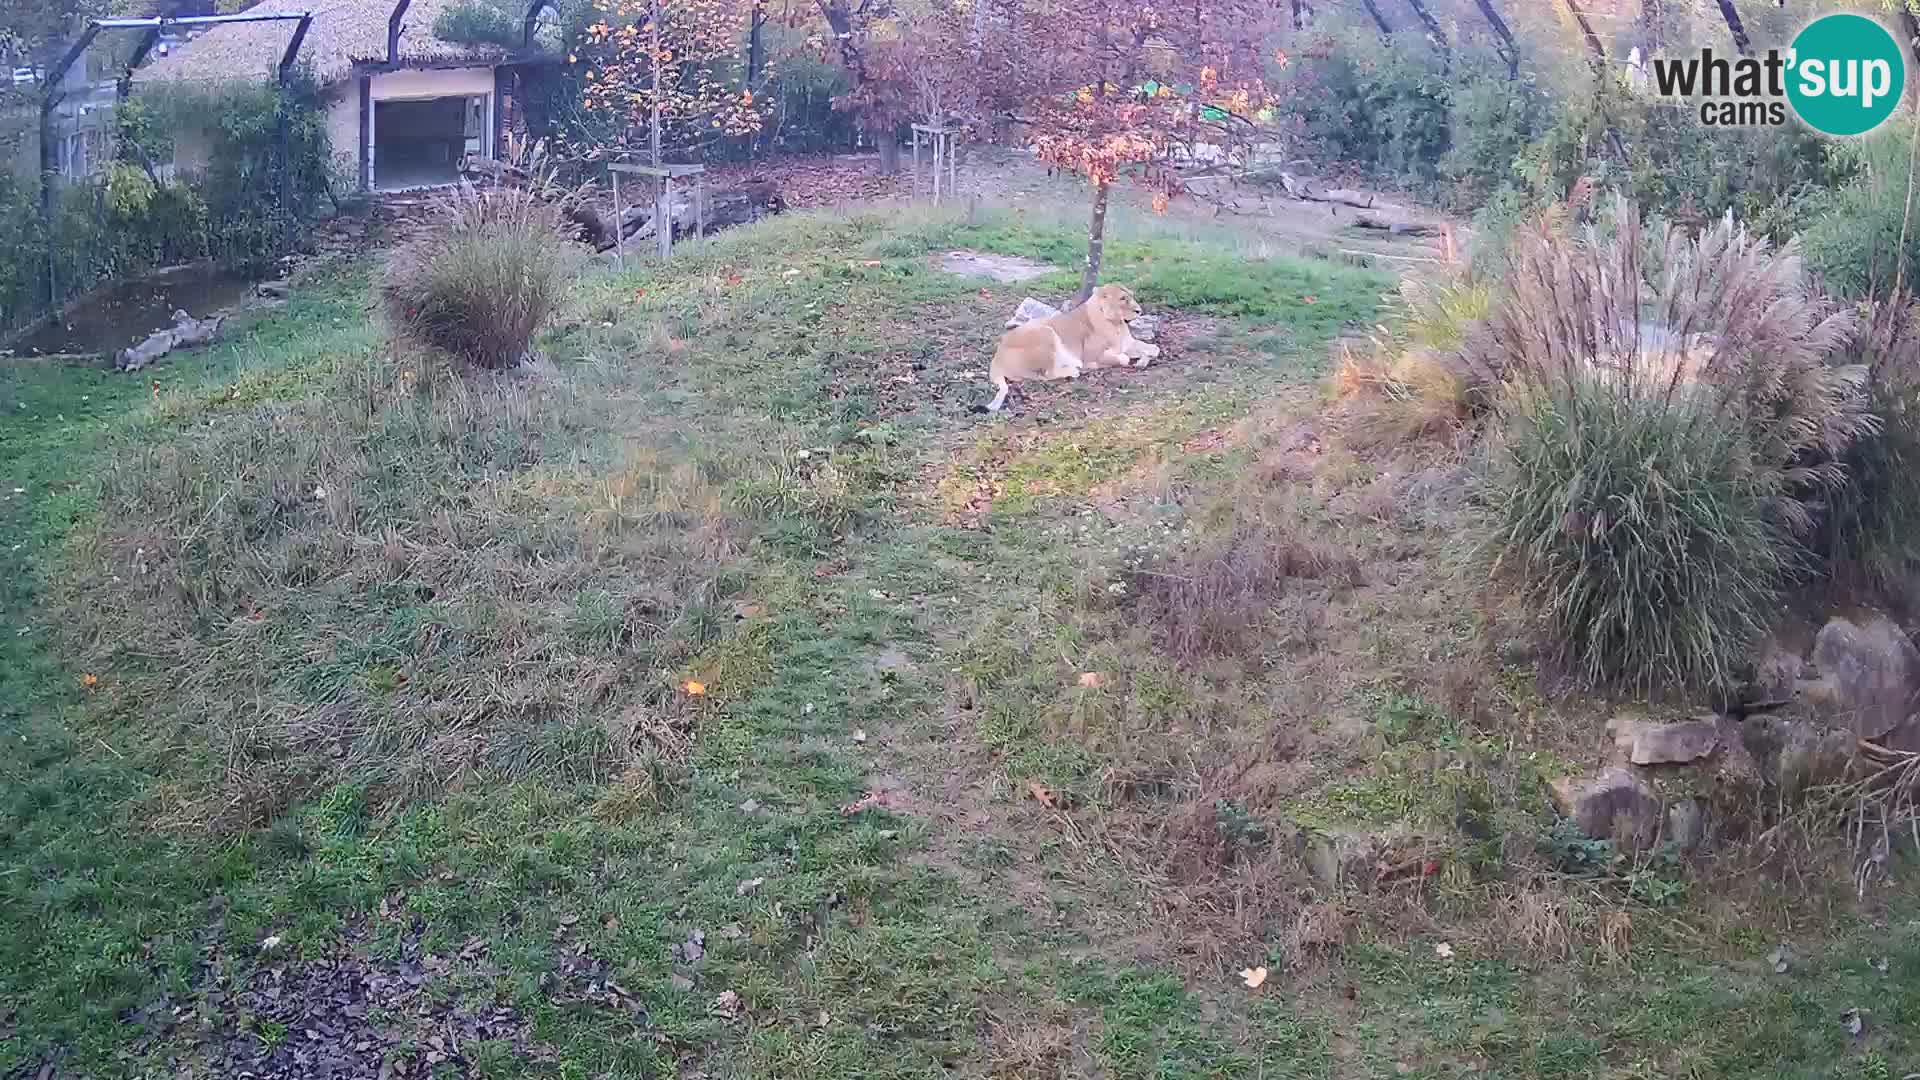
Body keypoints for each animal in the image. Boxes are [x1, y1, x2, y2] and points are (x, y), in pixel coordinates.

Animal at [984, 284, 1160, 412]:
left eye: (1131, 295)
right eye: (1123, 298)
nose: (1139, 311)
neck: (1116, 324)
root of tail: (996, 357)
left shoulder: (1127, 344)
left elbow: (1154, 348)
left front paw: (1143, 360)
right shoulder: (1093, 356)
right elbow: (1123, 358)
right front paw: (1137, 361)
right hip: (1046, 332)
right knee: (1046, 375)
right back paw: (1074, 369)